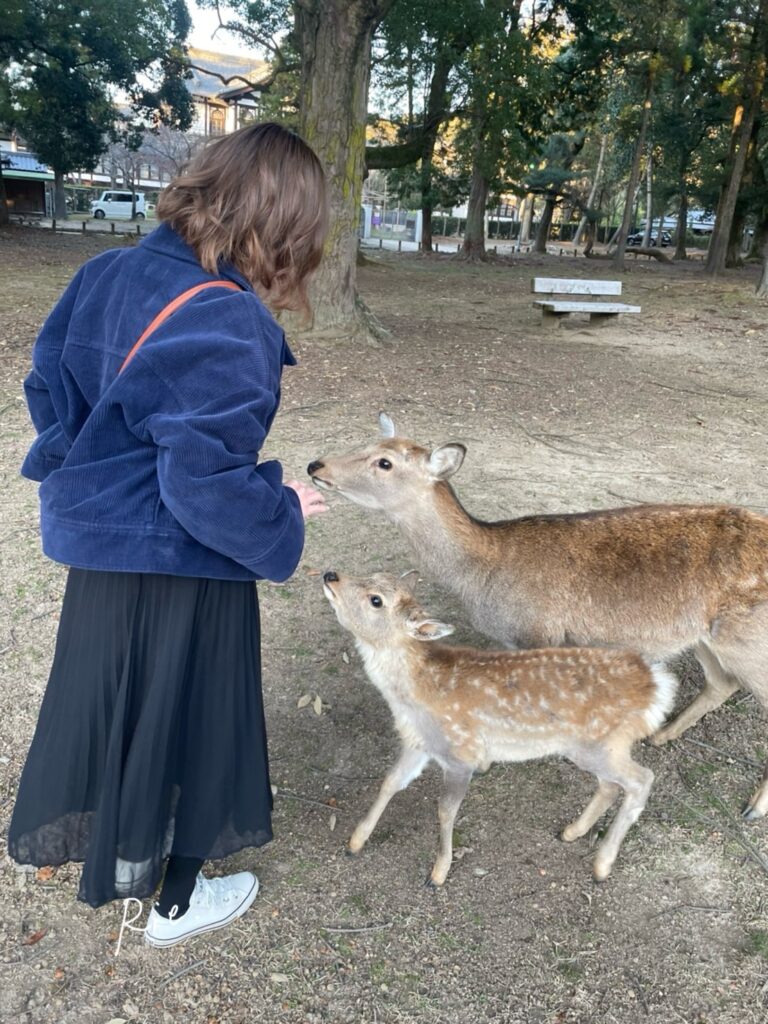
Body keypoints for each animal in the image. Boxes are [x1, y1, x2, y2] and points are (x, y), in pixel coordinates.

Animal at [308, 414, 768, 821]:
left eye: (384, 462)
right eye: (368, 442)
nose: (316, 465)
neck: (483, 572)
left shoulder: (539, 632)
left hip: (748, 639)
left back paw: (753, 806)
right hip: (707, 636)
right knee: (722, 682)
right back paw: (662, 734)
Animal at [322, 569, 677, 885]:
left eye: (376, 600)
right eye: (373, 575)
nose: (330, 575)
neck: (413, 696)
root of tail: (657, 686)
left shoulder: (460, 752)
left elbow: (445, 810)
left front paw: (438, 873)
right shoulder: (418, 743)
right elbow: (390, 781)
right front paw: (355, 841)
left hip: (602, 743)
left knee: (642, 779)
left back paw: (602, 865)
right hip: (594, 748)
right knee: (611, 785)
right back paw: (572, 832)